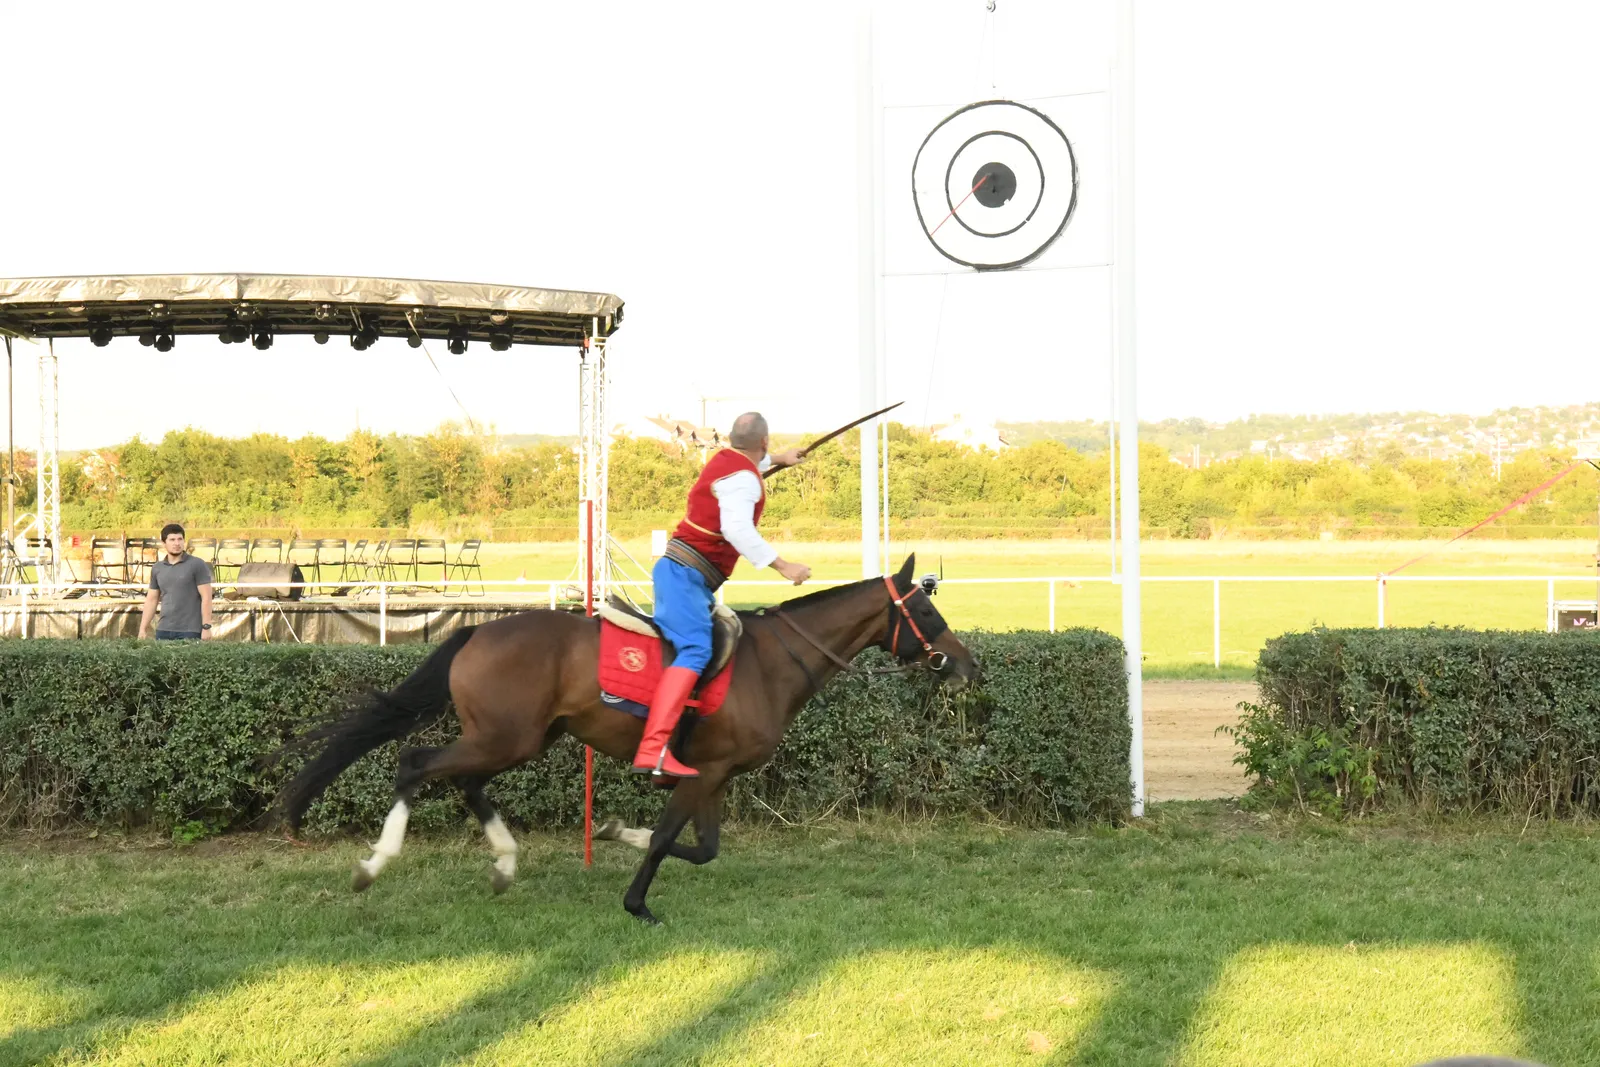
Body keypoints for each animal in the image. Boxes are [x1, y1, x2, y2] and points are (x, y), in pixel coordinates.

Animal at [277, 553, 975, 924]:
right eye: (928, 612)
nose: (967, 665)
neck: (771, 663)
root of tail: (477, 631)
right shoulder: (706, 773)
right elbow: (670, 840)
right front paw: (637, 900)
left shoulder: (713, 776)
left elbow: (704, 848)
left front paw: (616, 832)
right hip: (503, 738)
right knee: (413, 762)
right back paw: (374, 863)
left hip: (518, 740)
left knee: (465, 782)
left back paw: (504, 862)